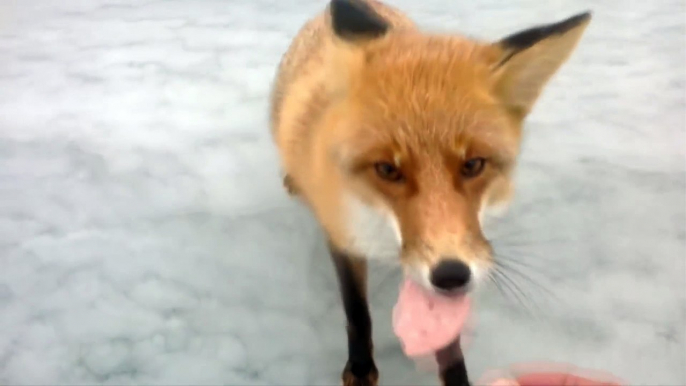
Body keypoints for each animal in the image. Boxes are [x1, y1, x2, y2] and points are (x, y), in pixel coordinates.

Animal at [272, 1, 592, 384]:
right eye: (387, 169)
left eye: (473, 164)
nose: (452, 275)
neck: (382, 227)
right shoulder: (342, 234)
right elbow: (357, 311)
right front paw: (361, 367)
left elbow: (447, 343)